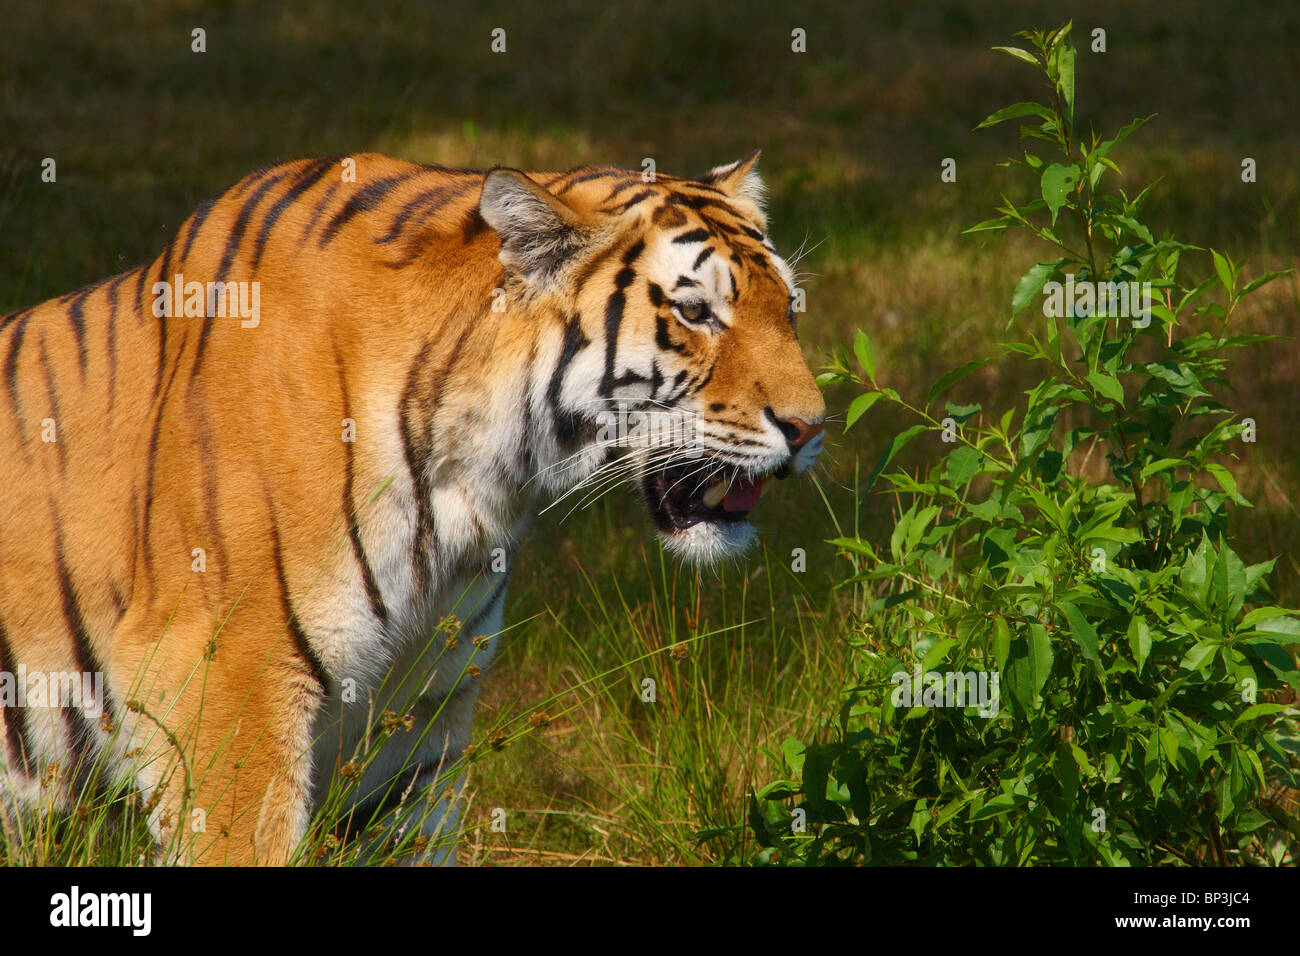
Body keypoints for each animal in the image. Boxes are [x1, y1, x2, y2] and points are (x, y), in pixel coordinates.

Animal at [0, 149, 826, 868]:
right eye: (696, 313)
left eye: (790, 308)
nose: (813, 427)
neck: (477, 483)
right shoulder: (221, 681)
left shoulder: (413, 718)